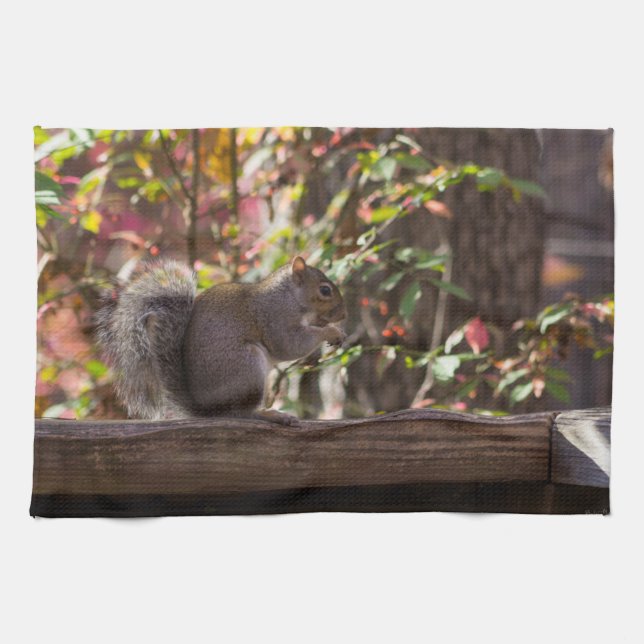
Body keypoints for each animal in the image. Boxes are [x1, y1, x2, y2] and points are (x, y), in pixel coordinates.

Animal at [96, 256, 346, 425]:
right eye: (325, 290)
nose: (343, 315)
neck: (290, 297)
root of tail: (210, 409)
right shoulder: (275, 318)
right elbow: (289, 345)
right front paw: (331, 332)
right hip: (247, 367)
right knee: (242, 413)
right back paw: (269, 414)